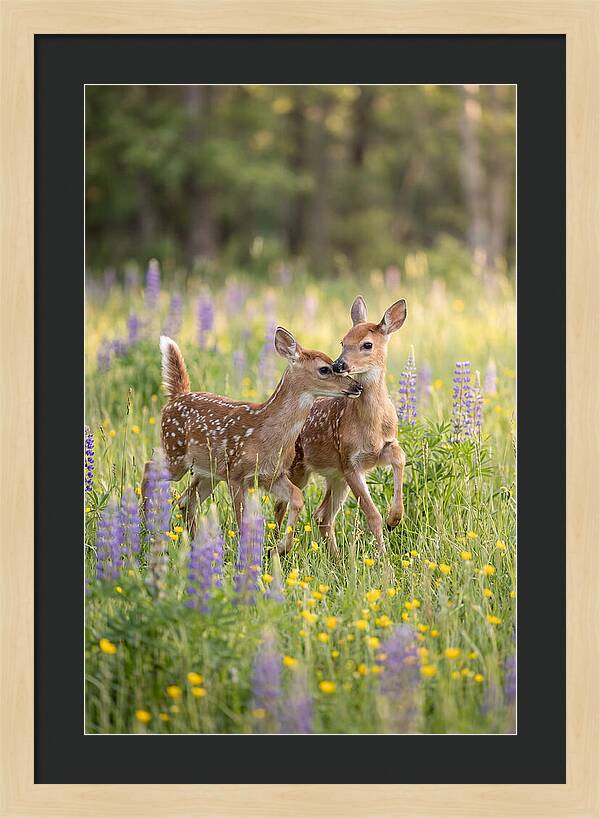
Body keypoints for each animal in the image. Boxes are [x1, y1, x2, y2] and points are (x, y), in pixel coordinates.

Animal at [141, 330, 363, 554]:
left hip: (208, 472)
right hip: (175, 452)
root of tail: (177, 396)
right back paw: (145, 524)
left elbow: (297, 498)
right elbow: (242, 521)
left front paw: (280, 548)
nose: (357, 386)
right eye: (325, 369)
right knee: (150, 467)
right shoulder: (236, 475)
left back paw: (195, 545)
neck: (266, 434)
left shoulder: (271, 475)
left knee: (186, 501)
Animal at [274, 296, 407, 556]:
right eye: (342, 342)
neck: (372, 426)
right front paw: (383, 557)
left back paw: (335, 558)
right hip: (298, 468)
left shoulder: (383, 448)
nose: (339, 364)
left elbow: (400, 457)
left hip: (335, 477)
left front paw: (395, 518)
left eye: (367, 345)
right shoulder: (349, 461)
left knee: (322, 515)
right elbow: (372, 515)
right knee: (281, 507)